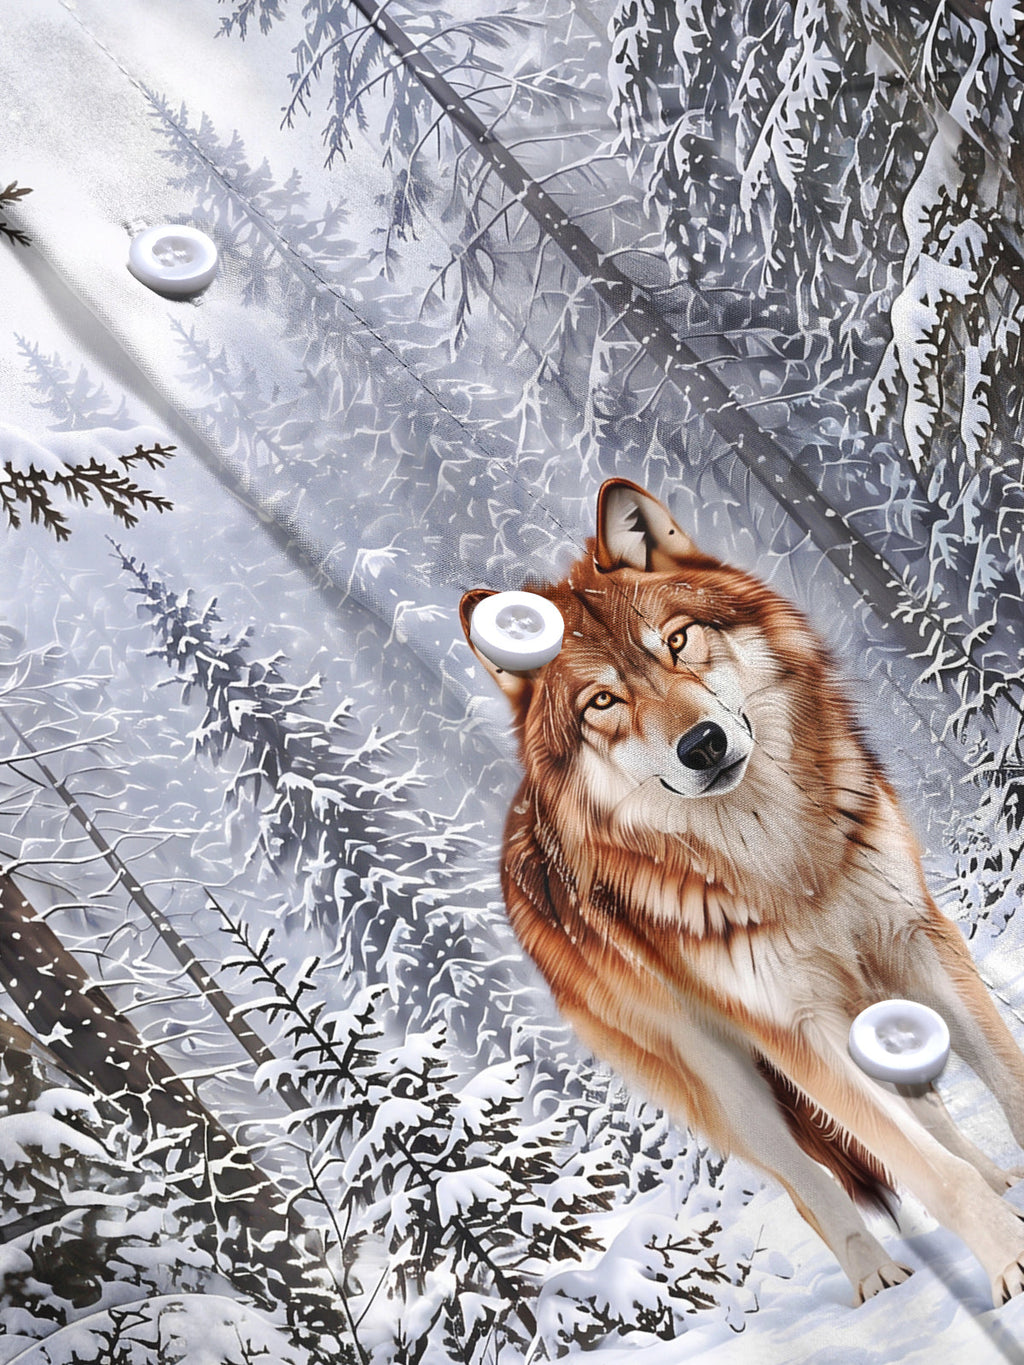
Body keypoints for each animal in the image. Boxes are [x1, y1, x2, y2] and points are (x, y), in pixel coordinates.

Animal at [460, 478, 1024, 1306]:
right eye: (602, 702)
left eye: (676, 641)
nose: (703, 745)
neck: (785, 862)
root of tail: (513, 829)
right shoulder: (796, 1031)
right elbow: (921, 1167)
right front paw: (1008, 1259)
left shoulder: (919, 938)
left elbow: (1003, 1083)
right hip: (729, 1088)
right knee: (810, 1183)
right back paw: (877, 1276)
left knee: (925, 1106)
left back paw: (1000, 1181)